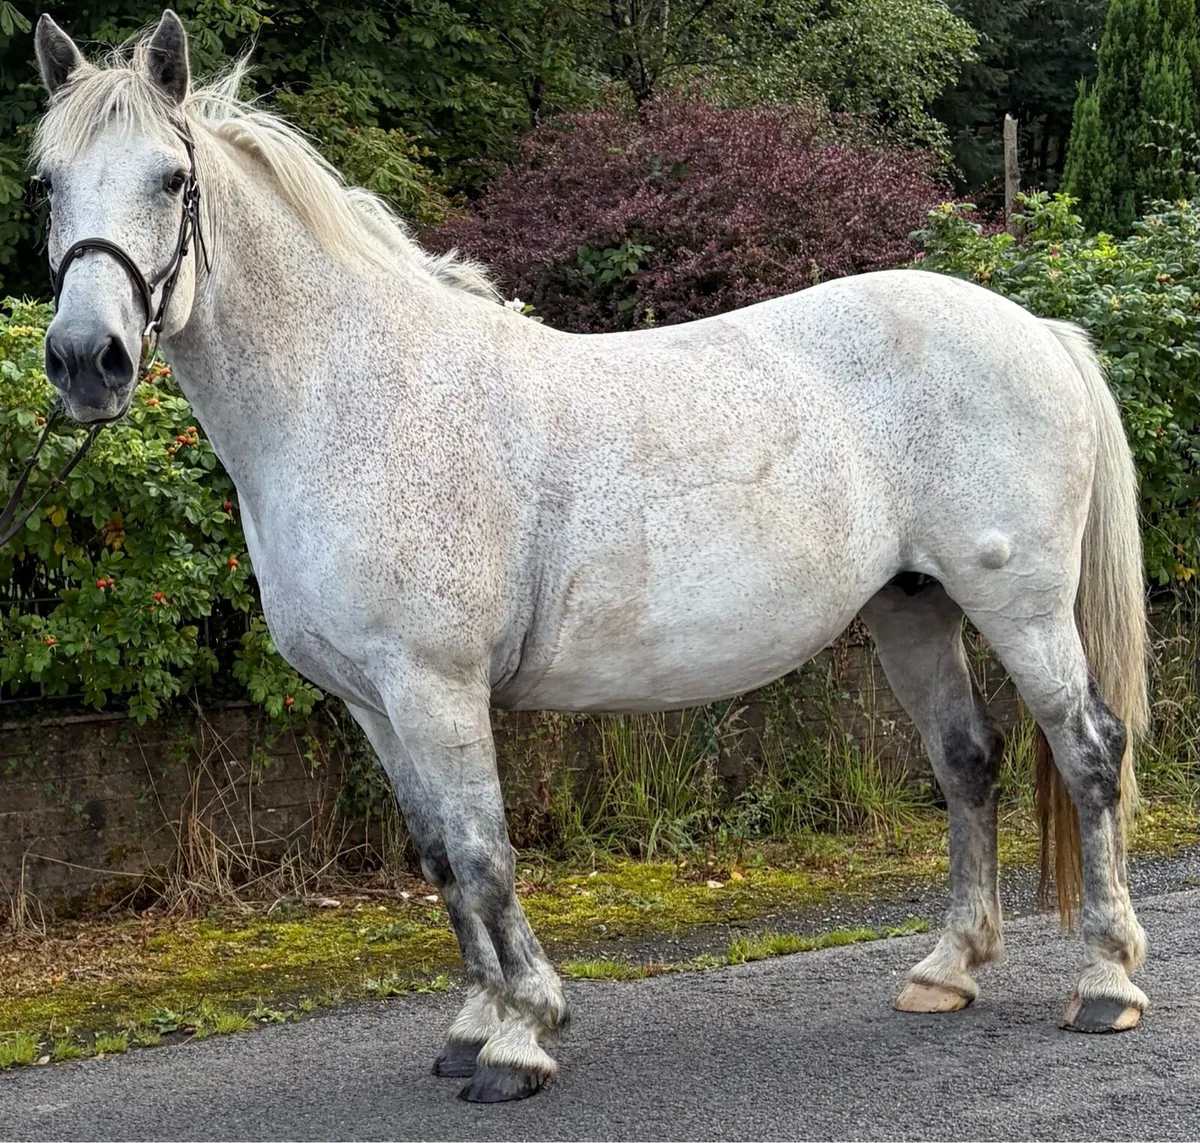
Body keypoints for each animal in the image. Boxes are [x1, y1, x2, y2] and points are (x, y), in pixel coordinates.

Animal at [31, 11, 1150, 1103]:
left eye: (170, 180)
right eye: (45, 181)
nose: (88, 362)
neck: (360, 401)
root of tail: (1035, 327)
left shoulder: (435, 686)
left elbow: (482, 856)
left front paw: (522, 1035)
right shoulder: (372, 702)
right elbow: (438, 861)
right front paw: (473, 1026)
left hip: (1021, 606)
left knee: (1089, 752)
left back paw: (1106, 981)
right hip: (912, 606)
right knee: (967, 761)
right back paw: (948, 969)